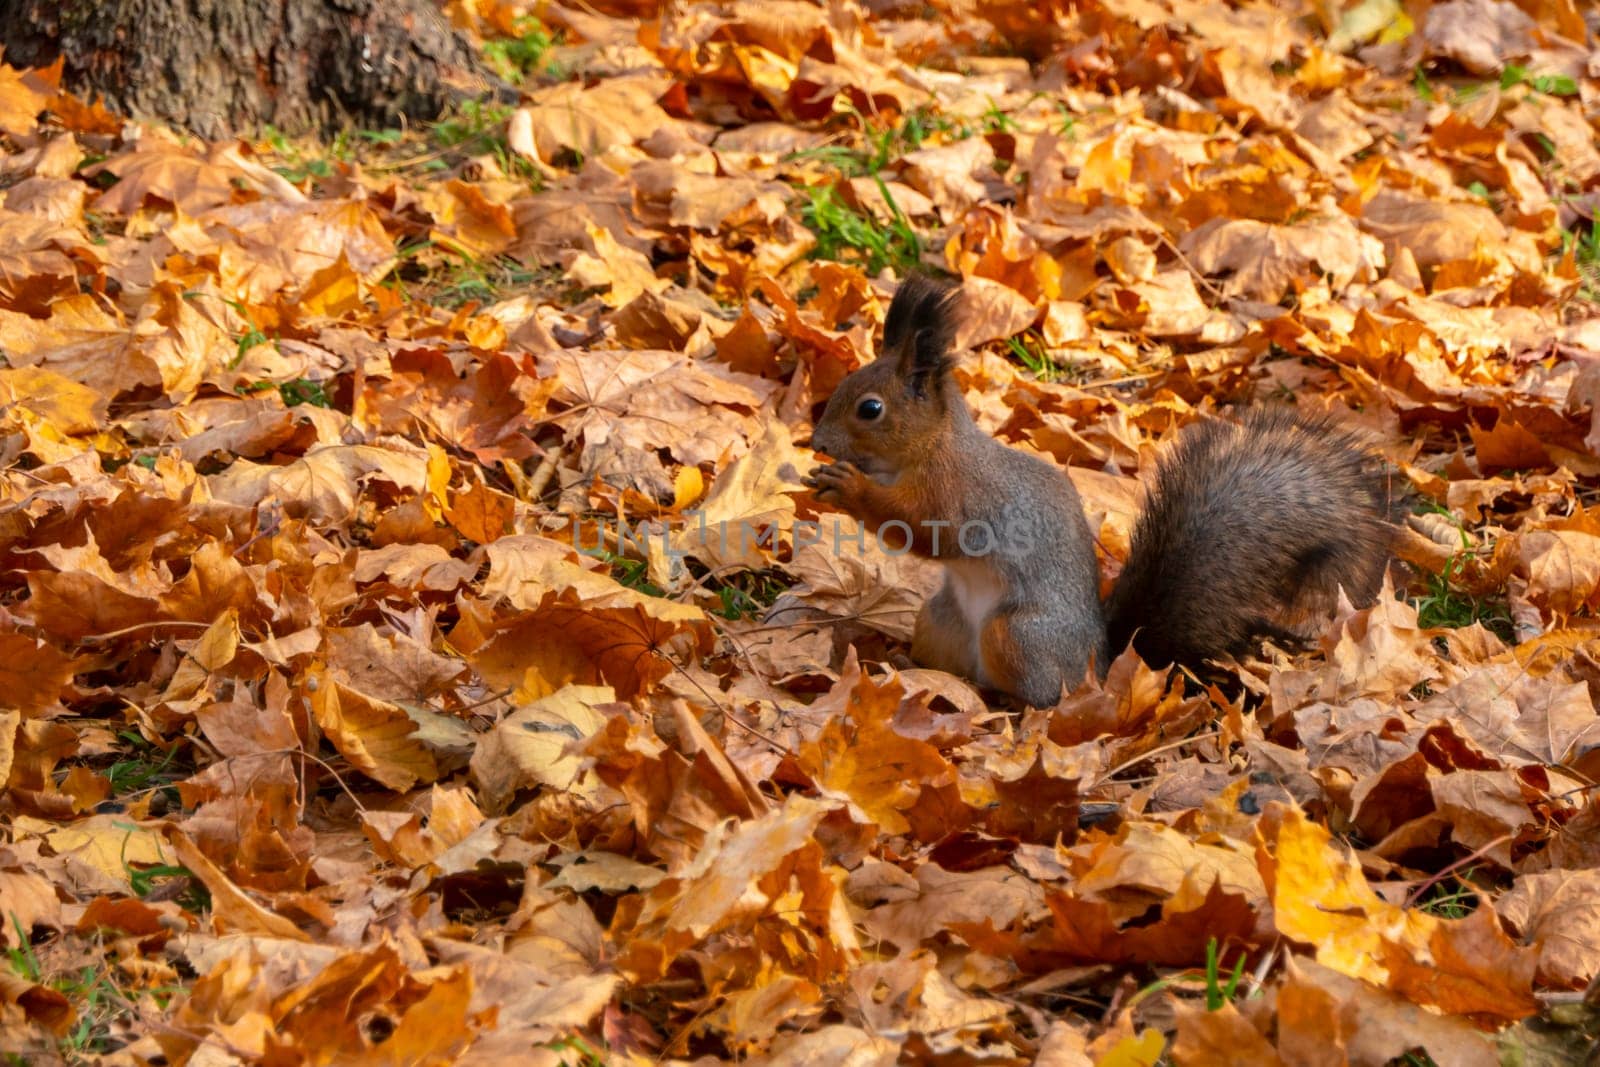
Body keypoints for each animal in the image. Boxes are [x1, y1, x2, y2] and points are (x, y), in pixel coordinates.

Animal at [806, 275, 1395, 710]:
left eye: (871, 409)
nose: (816, 443)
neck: (927, 449)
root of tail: (1104, 663)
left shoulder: (958, 494)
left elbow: (925, 531)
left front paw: (848, 488)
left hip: (1017, 635)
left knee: (1041, 693)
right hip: (940, 620)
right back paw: (915, 671)